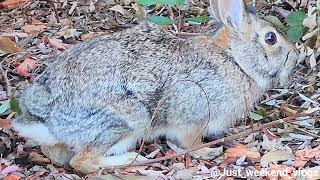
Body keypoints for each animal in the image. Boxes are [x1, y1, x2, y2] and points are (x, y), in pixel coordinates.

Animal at [11, 0, 298, 174]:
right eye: (270, 38)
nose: (295, 56)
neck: (234, 59)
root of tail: (46, 120)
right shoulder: (192, 113)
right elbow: (189, 142)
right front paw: (209, 150)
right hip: (127, 120)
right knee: (83, 161)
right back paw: (130, 161)